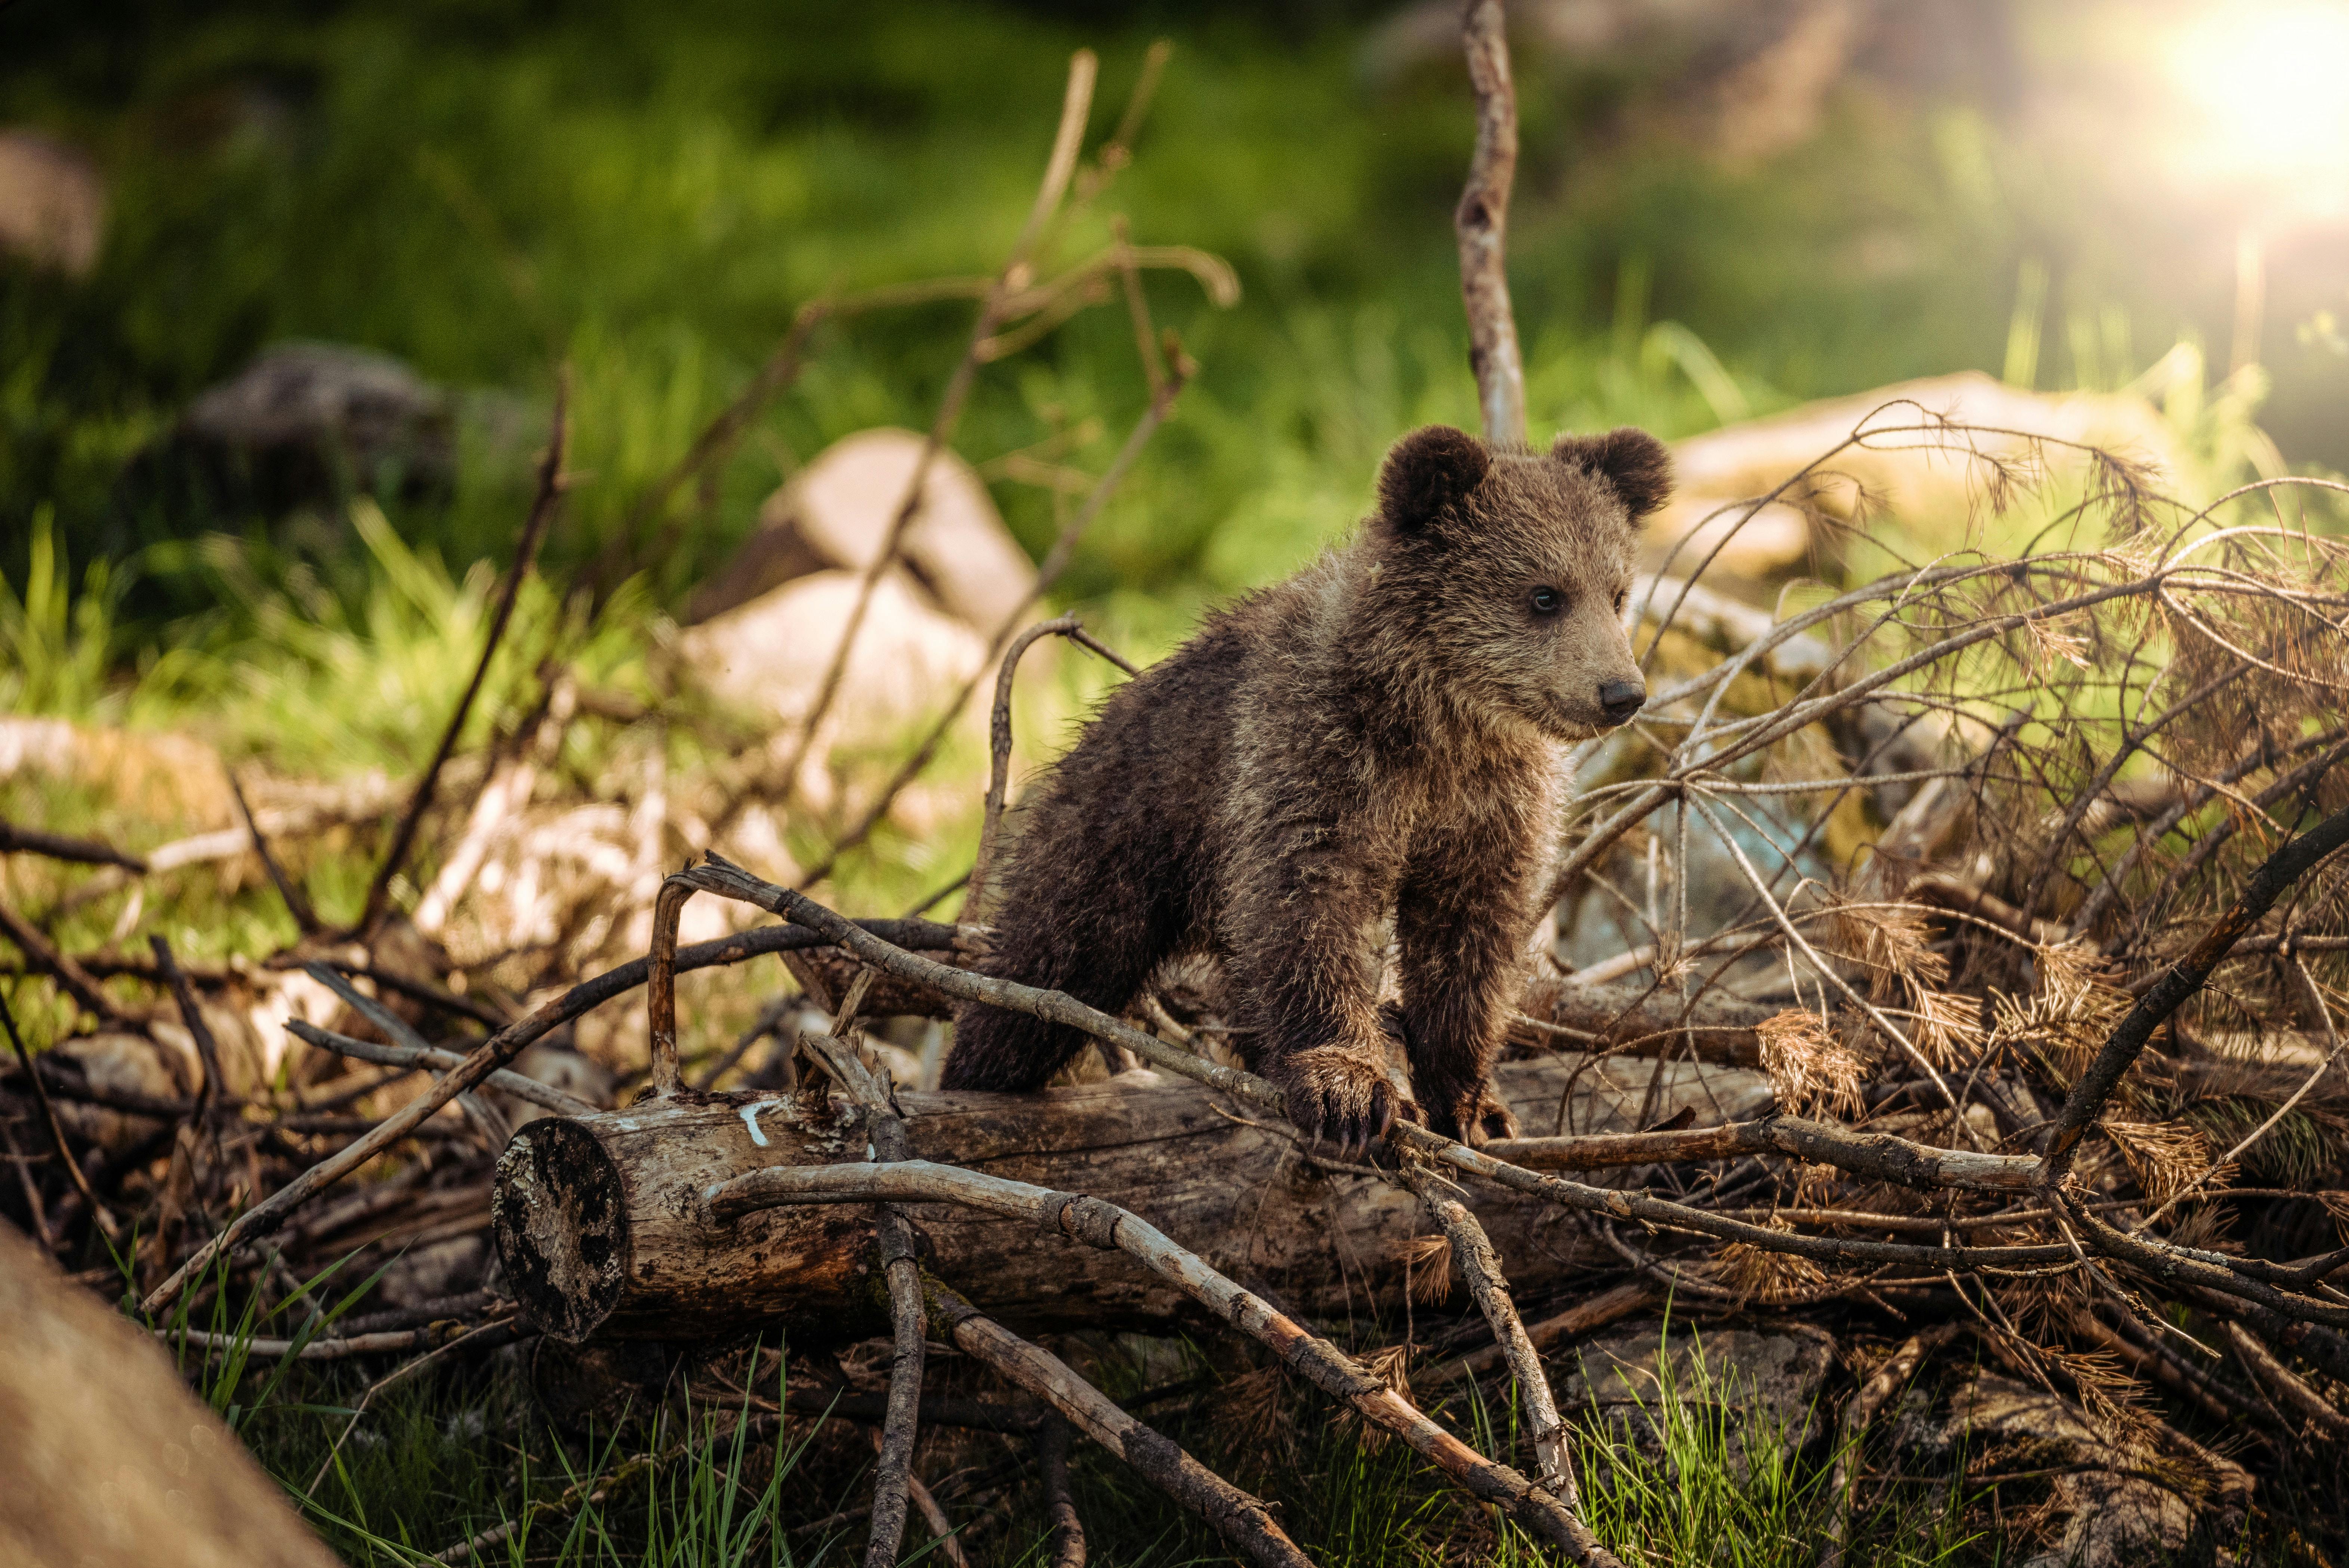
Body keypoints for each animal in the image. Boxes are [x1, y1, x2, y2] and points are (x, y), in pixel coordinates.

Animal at [940, 423, 1670, 1146]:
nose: (1621, 692)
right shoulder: (1315, 757)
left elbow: (1471, 937)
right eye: (1544, 594)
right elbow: (1308, 905)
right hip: (1115, 838)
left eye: (1617, 592)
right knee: (1042, 970)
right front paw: (1348, 1088)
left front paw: (1472, 1103)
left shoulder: (1489, 804)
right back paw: (976, 1074)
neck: (1438, 722)